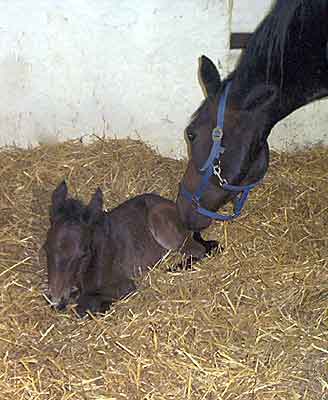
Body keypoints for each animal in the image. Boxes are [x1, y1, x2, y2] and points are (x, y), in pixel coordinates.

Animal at [44, 180, 218, 316]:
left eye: (82, 254)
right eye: (46, 249)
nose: (57, 301)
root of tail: (176, 207)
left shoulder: (125, 285)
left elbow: (84, 304)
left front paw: (101, 307)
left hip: (164, 227)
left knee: (198, 250)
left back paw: (174, 268)